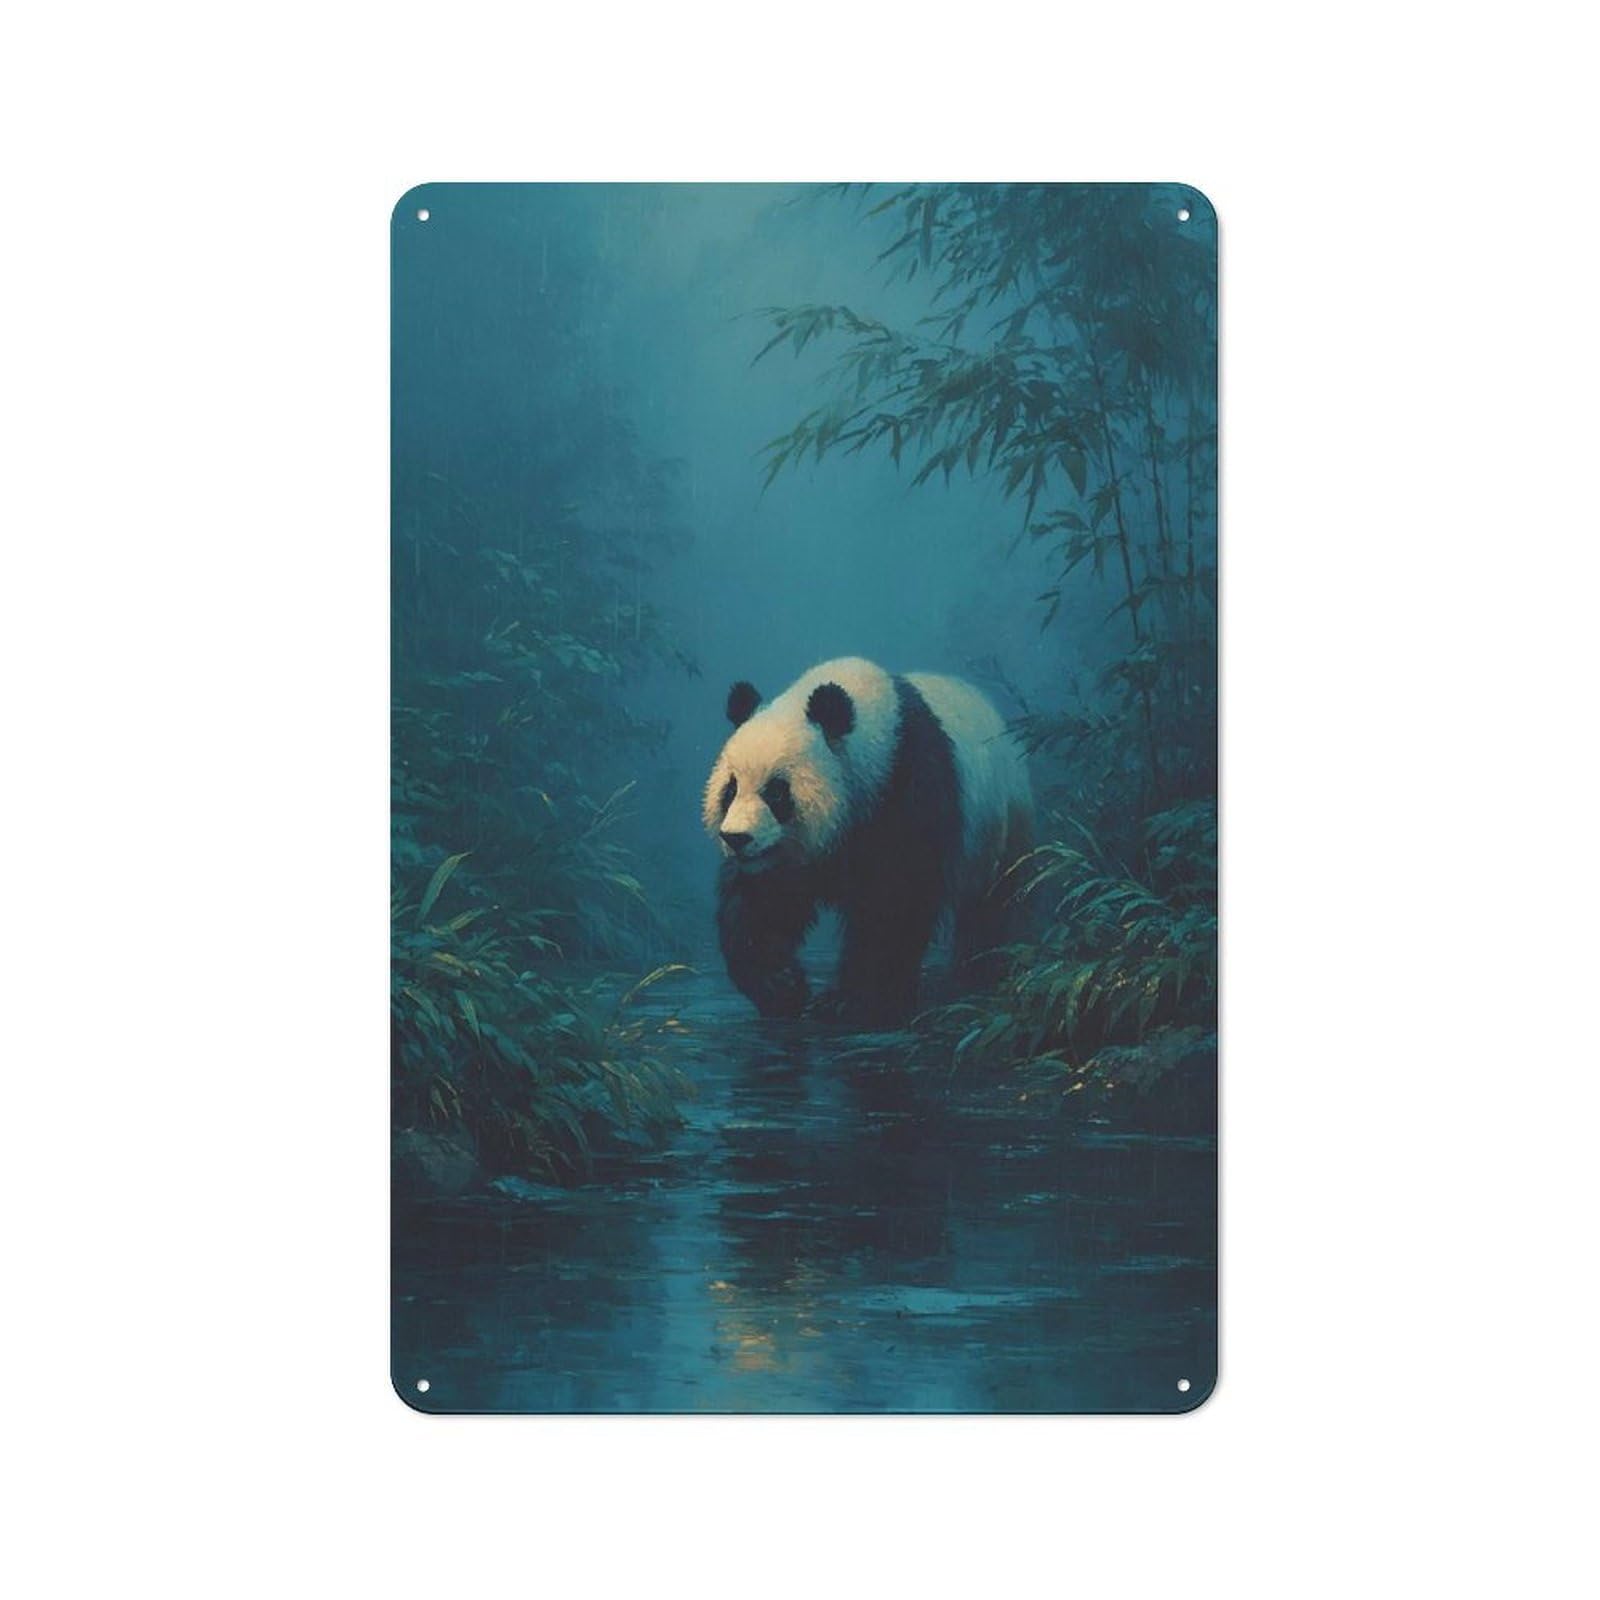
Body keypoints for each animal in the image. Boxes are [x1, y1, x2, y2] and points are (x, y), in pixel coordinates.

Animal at [703, 657, 1033, 1023]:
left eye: (776, 792)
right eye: (730, 789)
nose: (736, 838)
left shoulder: (908, 787)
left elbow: (895, 899)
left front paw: (852, 1001)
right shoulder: (779, 861)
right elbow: (762, 903)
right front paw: (783, 987)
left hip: (1002, 822)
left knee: (995, 903)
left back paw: (981, 970)